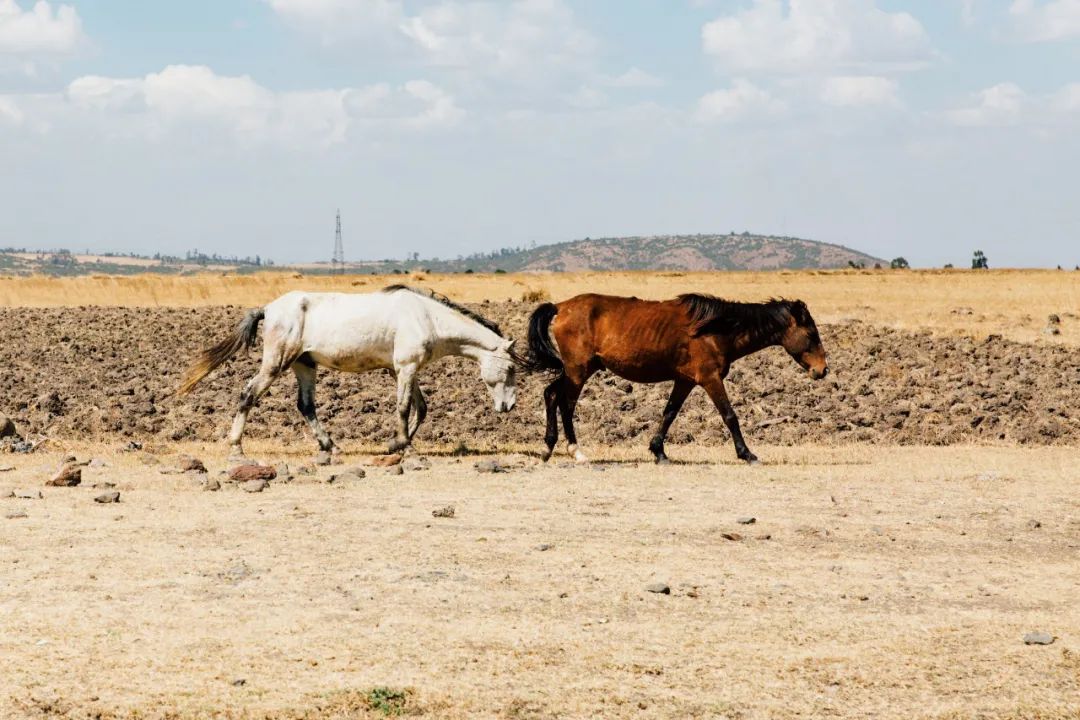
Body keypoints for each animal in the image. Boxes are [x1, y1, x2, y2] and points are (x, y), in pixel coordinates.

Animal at [178, 284, 518, 459]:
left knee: (306, 406)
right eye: (512, 367)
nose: (509, 406)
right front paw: (402, 445)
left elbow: (420, 408)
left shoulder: (403, 371)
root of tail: (269, 309)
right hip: (277, 363)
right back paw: (236, 447)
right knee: (248, 393)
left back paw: (330, 446)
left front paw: (398, 443)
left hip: (304, 365)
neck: (426, 317)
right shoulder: (406, 368)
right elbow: (405, 407)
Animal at [527, 293, 829, 468]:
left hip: (577, 371)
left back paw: (548, 448)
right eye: (812, 334)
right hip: (578, 372)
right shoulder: (710, 379)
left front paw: (658, 452)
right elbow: (730, 416)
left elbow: (669, 413)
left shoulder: (685, 381)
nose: (822, 370)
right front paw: (747, 454)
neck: (715, 330)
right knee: (565, 404)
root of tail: (560, 307)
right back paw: (575, 451)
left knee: (550, 394)